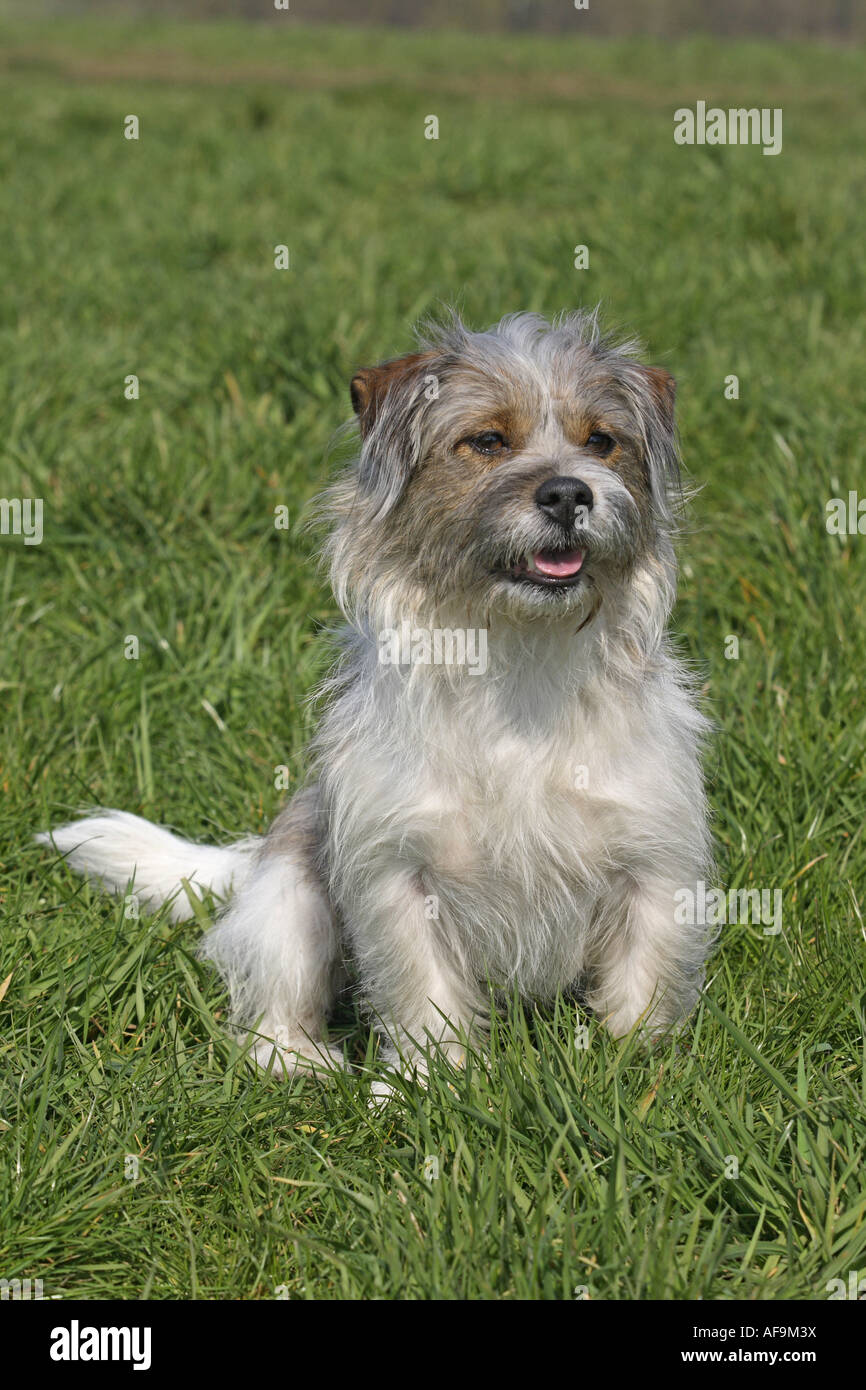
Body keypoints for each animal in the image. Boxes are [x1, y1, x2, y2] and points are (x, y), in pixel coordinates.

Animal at [37, 312, 717, 1084]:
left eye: (601, 441)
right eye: (488, 441)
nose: (570, 493)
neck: (519, 656)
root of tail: (254, 859)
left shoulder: (654, 857)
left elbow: (646, 972)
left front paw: (636, 1068)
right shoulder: (399, 868)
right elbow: (422, 990)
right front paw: (428, 1083)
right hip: (293, 896)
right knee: (268, 1016)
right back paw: (308, 1062)